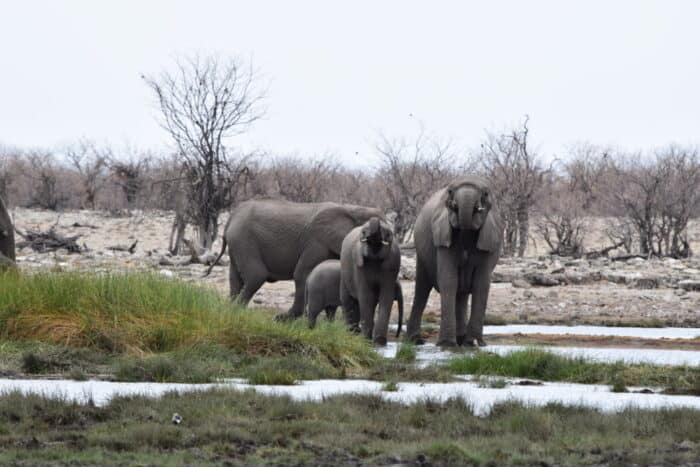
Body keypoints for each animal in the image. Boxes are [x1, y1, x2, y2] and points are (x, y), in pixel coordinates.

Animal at [205, 199, 382, 320]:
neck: (352, 208)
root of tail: (232, 216)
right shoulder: (317, 242)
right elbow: (303, 274)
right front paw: (280, 320)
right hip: (244, 240)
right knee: (256, 276)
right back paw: (236, 311)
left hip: (237, 244)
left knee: (235, 278)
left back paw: (230, 311)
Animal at [340, 217, 401, 346]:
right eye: (363, 232)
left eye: (387, 234)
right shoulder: (359, 265)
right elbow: (366, 296)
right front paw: (365, 340)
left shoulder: (391, 265)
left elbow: (386, 296)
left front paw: (379, 342)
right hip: (344, 272)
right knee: (348, 301)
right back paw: (352, 333)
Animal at [405, 176, 503, 348]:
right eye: (450, 192)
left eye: (485, 194)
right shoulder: (443, 235)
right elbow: (448, 280)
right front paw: (447, 345)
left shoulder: (489, 239)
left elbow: (481, 284)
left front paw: (474, 343)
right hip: (421, 251)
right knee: (422, 290)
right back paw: (416, 341)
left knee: (461, 294)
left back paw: (462, 340)